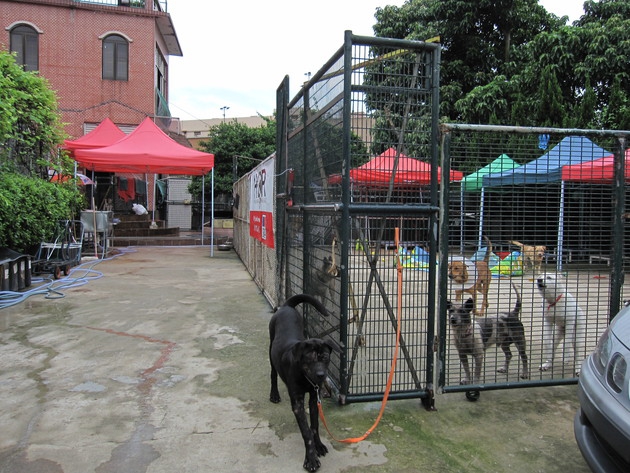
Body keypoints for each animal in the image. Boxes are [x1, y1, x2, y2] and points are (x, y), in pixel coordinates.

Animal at [268, 294, 336, 470]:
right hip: (271, 347)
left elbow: (314, 425)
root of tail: (286, 306)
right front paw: (311, 460)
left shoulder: (314, 398)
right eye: (309, 359)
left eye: (325, 358)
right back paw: (274, 395)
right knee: (273, 373)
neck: (305, 378)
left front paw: (319, 446)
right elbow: (306, 432)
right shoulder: (297, 403)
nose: (321, 375)